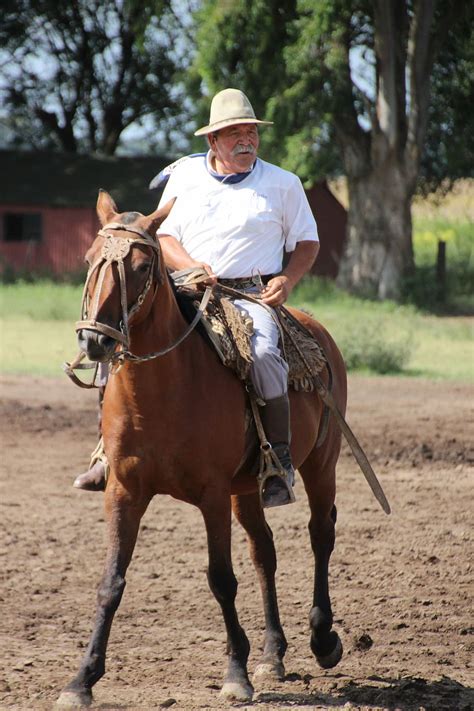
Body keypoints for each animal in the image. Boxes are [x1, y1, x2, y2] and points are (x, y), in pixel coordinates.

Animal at [57, 192, 348, 708]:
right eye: (91, 260)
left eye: (142, 265)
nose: (94, 339)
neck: (163, 392)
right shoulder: (124, 492)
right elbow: (111, 582)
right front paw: (81, 680)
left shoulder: (211, 495)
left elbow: (221, 579)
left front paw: (235, 674)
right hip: (247, 489)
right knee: (264, 550)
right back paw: (273, 654)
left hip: (320, 465)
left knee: (320, 534)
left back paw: (322, 639)